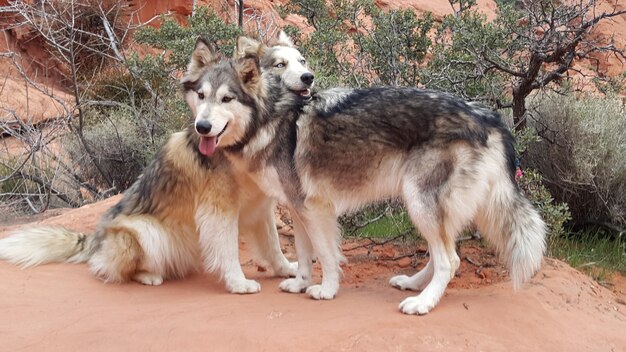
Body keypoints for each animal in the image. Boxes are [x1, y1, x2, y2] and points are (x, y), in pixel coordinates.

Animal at [0, 32, 312, 292]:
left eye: (226, 99)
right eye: (201, 95)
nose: (203, 127)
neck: (242, 142)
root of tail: (95, 239)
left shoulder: (260, 207)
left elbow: (273, 246)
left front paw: (287, 269)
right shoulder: (218, 210)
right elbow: (228, 251)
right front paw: (238, 283)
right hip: (145, 232)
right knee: (107, 268)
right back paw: (149, 276)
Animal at [180, 37, 540, 314]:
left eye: (227, 98)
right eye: (202, 96)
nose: (202, 127)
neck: (272, 116)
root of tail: (489, 117)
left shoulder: (315, 209)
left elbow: (326, 255)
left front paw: (326, 291)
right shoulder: (298, 208)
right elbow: (304, 254)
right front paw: (300, 284)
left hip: (419, 203)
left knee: (449, 260)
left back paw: (422, 303)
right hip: (425, 206)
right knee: (447, 256)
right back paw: (411, 284)